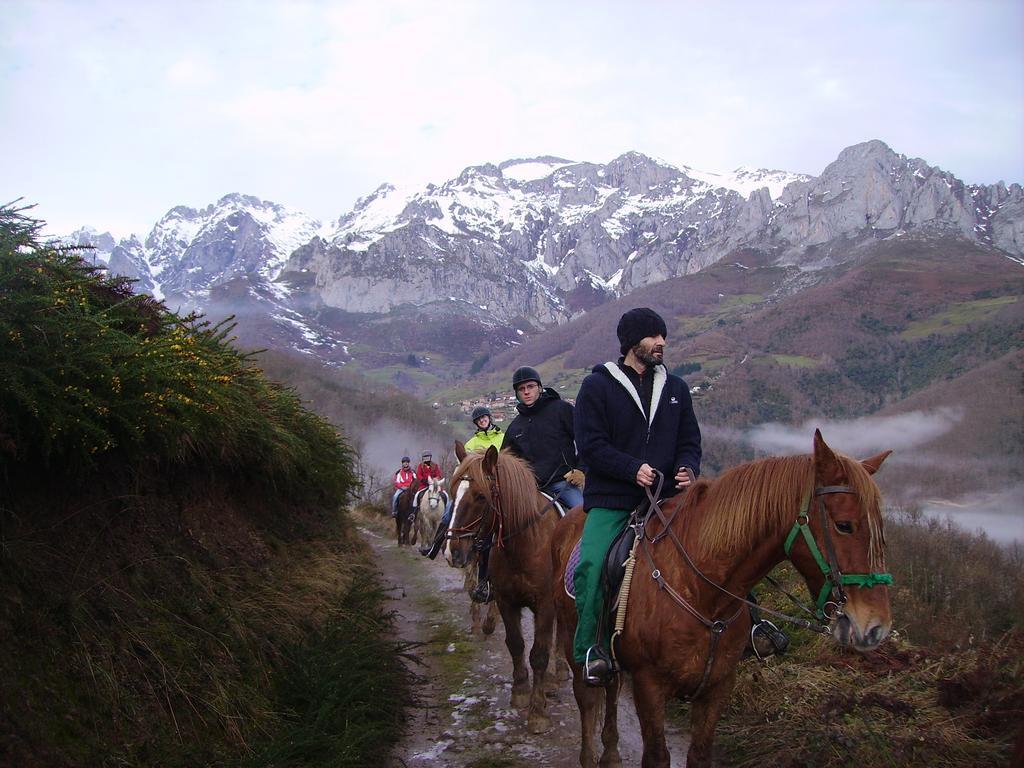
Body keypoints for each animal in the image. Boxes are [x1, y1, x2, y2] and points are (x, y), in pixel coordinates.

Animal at [448, 442, 561, 737]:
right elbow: (516, 643)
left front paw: (537, 712)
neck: (525, 543)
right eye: (452, 492)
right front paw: (520, 691)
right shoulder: (507, 601)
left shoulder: (546, 606)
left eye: (480, 497)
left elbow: (539, 654)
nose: (454, 553)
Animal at [552, 430, 897, 765]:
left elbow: (700, 754)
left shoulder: (718, 687)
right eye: (844, 525)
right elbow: (656, 756)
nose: (875, 626)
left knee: (611, 693)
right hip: (575, 645)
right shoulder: (649, 686)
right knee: (589, 700)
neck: (703, 594)